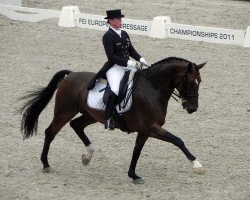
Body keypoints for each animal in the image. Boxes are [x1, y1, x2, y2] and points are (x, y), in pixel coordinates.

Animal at [19, 56, 206, 184]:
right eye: (190, 82)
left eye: (200, 81)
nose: (192, 108)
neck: (152, 88)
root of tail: (70, 75)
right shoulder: (150, 127)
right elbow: (178, 140)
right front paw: (197, 165)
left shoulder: (145, 130)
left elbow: (137, 151)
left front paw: (133, 175)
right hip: (65, 111)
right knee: (50, 132)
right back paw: (46, 164)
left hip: (91, 115)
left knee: (76, 125)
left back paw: (87, 156)